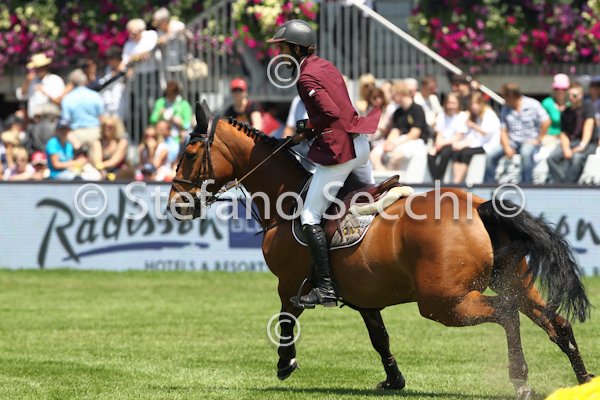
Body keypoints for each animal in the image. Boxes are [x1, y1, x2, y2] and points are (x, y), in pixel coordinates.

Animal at [168, 105, 593, 400]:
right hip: (515, 283)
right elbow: (380, 338)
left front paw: (286, 364)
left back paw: (520, 380)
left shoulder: (289, 284)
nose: (176, 204)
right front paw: (394, 380)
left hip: (444, 303)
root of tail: (478, 206)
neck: (285, 202)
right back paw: (584, 380)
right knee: (555, 322)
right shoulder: (364, 296)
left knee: (507, 315)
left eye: (189, 154)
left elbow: (286, 320)